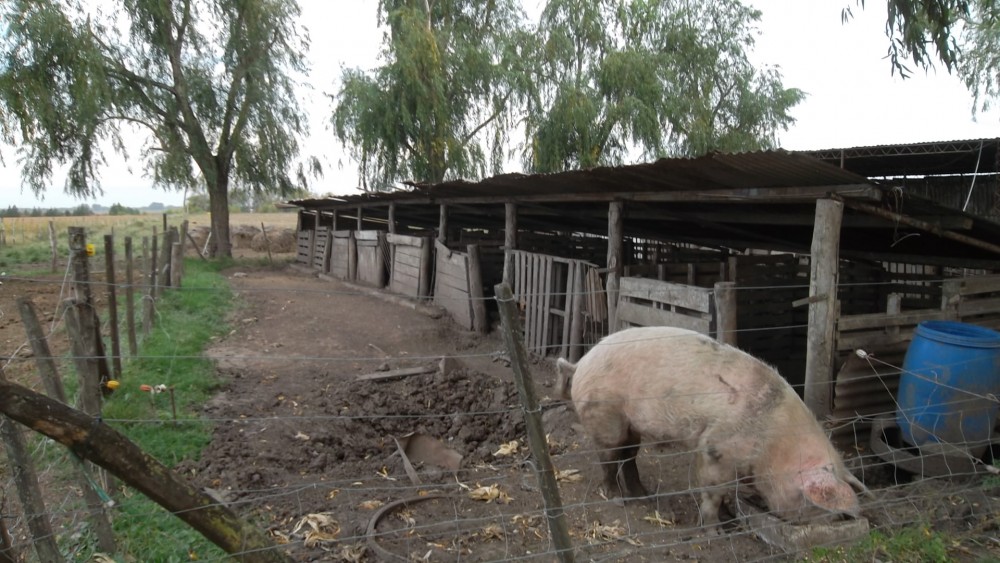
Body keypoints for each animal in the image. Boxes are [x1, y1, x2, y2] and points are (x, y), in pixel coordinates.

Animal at [556, 326, 868, 528]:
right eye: (817, 504)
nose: (843, 519)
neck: (774, 443)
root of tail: (581, 362)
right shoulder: (716, 448)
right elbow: (713, 490)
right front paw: (716, 529)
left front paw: (731, 517)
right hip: (605, 414)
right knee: (608, 457)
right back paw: (618, 499)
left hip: (630, 424)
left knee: (628, 456)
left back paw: (643, 494)